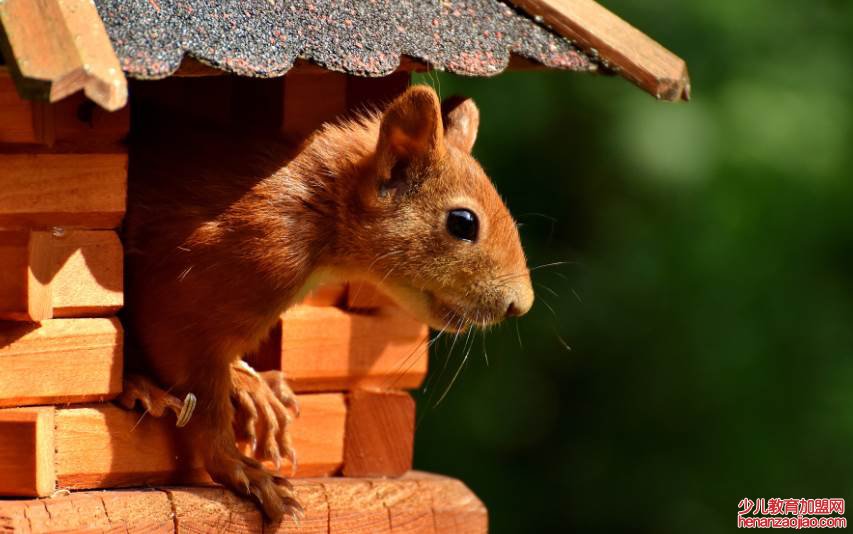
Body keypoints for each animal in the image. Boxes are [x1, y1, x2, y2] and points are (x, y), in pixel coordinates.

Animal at [120, 86, 532, 520]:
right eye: (463, 223)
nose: (520, 305)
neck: (319, 212)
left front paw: (251, 385)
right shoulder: (197, 291)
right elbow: (199, 394)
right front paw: (241, 468)